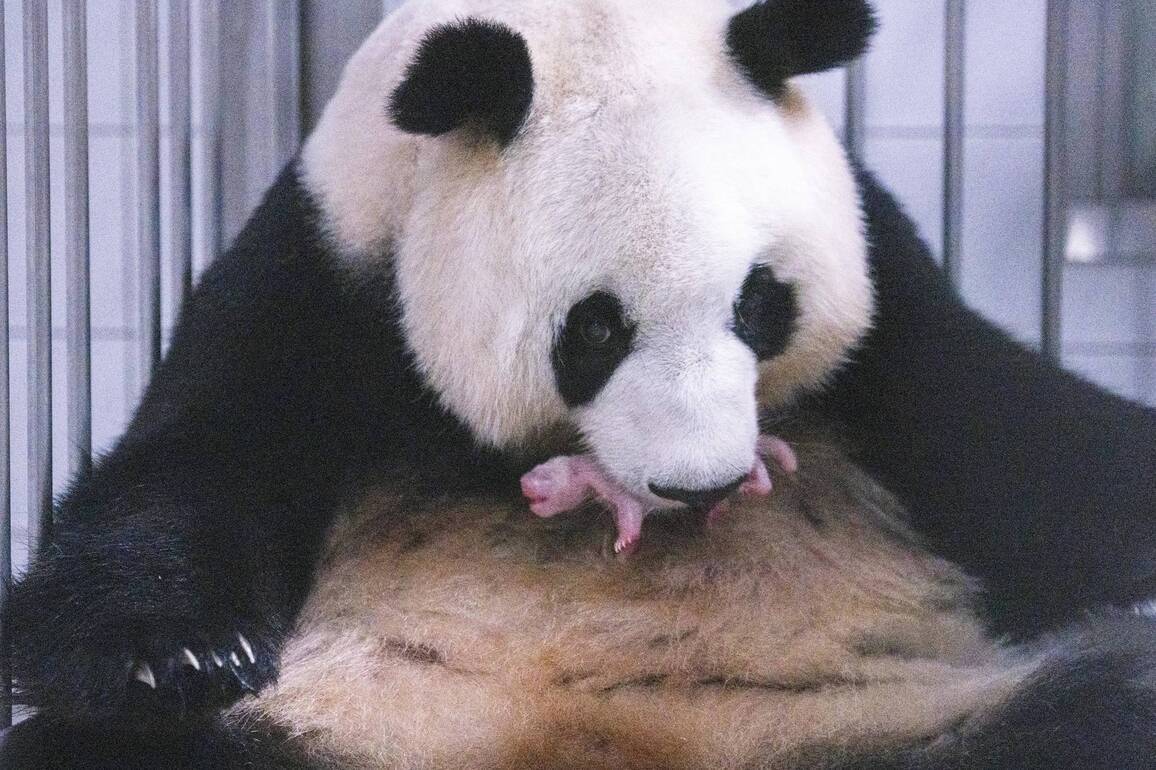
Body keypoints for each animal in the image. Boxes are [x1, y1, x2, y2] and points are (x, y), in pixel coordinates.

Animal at [5, 0, 1156, 767]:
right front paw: (172, 653)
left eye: (759, 304)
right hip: (336, 726)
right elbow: (193, 458)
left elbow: (1025, 443)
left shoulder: (891, 304)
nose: (701, 485)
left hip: (891, 717)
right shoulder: (326, 270)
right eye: (594, 330)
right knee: (94, 748)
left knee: (1105, 707)